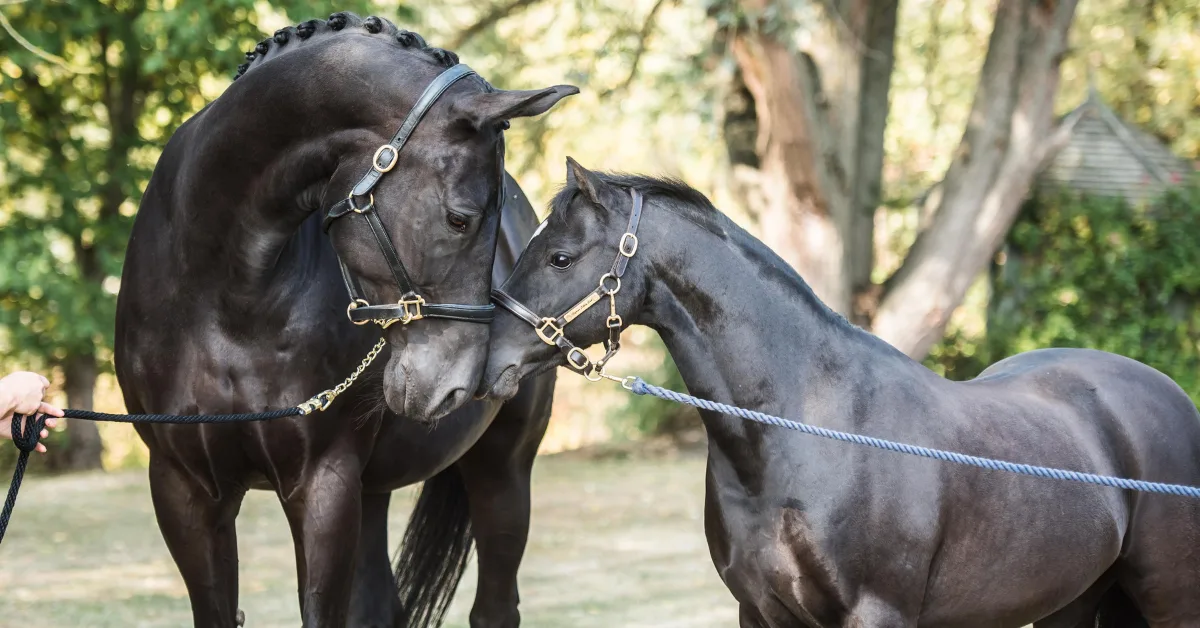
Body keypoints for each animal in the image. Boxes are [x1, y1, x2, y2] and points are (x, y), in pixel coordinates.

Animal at [114, 12, 575, 627]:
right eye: (459, 218)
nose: (458, 386)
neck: (223, 297)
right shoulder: (183, 489)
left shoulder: (323, 486)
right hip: (373, 490)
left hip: (502, 468)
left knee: (494, 606)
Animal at [478, 158, 1200, 627]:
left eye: (561, 258)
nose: (486, 364)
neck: (802, 432)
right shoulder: (760, 612)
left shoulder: (876, 614)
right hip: (1071, 601)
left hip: (1167, 600)